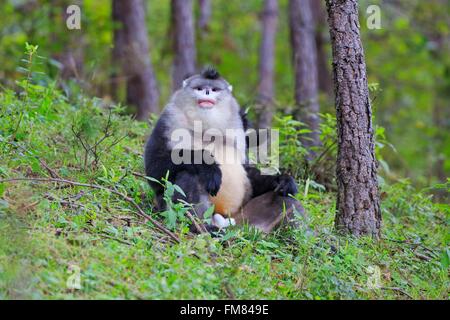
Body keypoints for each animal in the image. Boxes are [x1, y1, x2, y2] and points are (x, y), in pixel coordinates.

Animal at [146, 67, 304, 232]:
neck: (206, 130)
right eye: (199, 88)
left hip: (243, 217)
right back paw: (202, 227)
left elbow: (248, 170)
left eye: (214, 89)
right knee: (188, 175)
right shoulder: (167, 120)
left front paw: (283, 179)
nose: (207, 92)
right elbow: (155, 169)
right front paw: (209, 166)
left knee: (287, 197)